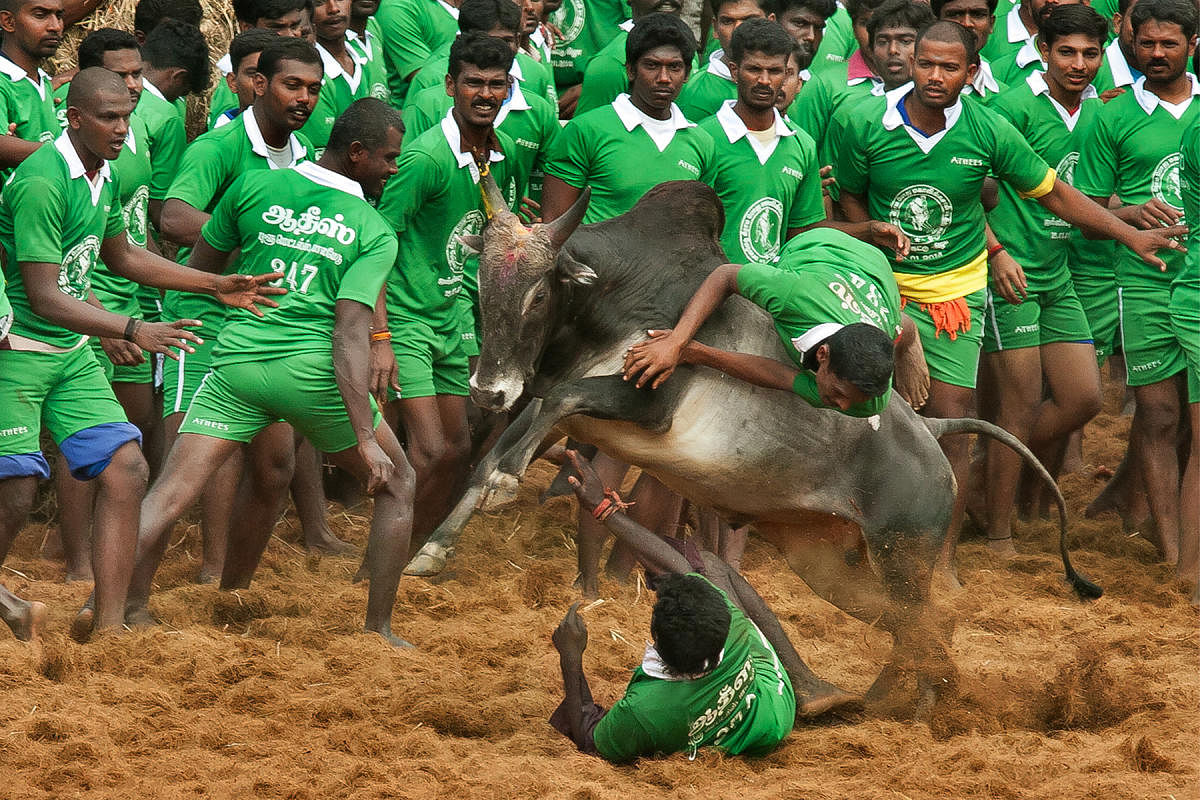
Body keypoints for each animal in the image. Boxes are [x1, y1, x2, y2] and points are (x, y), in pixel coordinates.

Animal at [415, 179, 1099, 714]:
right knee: (913, 623)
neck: (617, 298)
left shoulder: (646, 404)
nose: (487, 388)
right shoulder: (561, 407)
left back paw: (919, 702)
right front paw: (433, 548)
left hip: (902, 554)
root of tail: (932, 438)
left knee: (929, 618)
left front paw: (507, 483)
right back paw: (881, 699)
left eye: (537, 294)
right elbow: (501, 446)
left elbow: (554, 407)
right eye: (482, 290)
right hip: (825, 564)